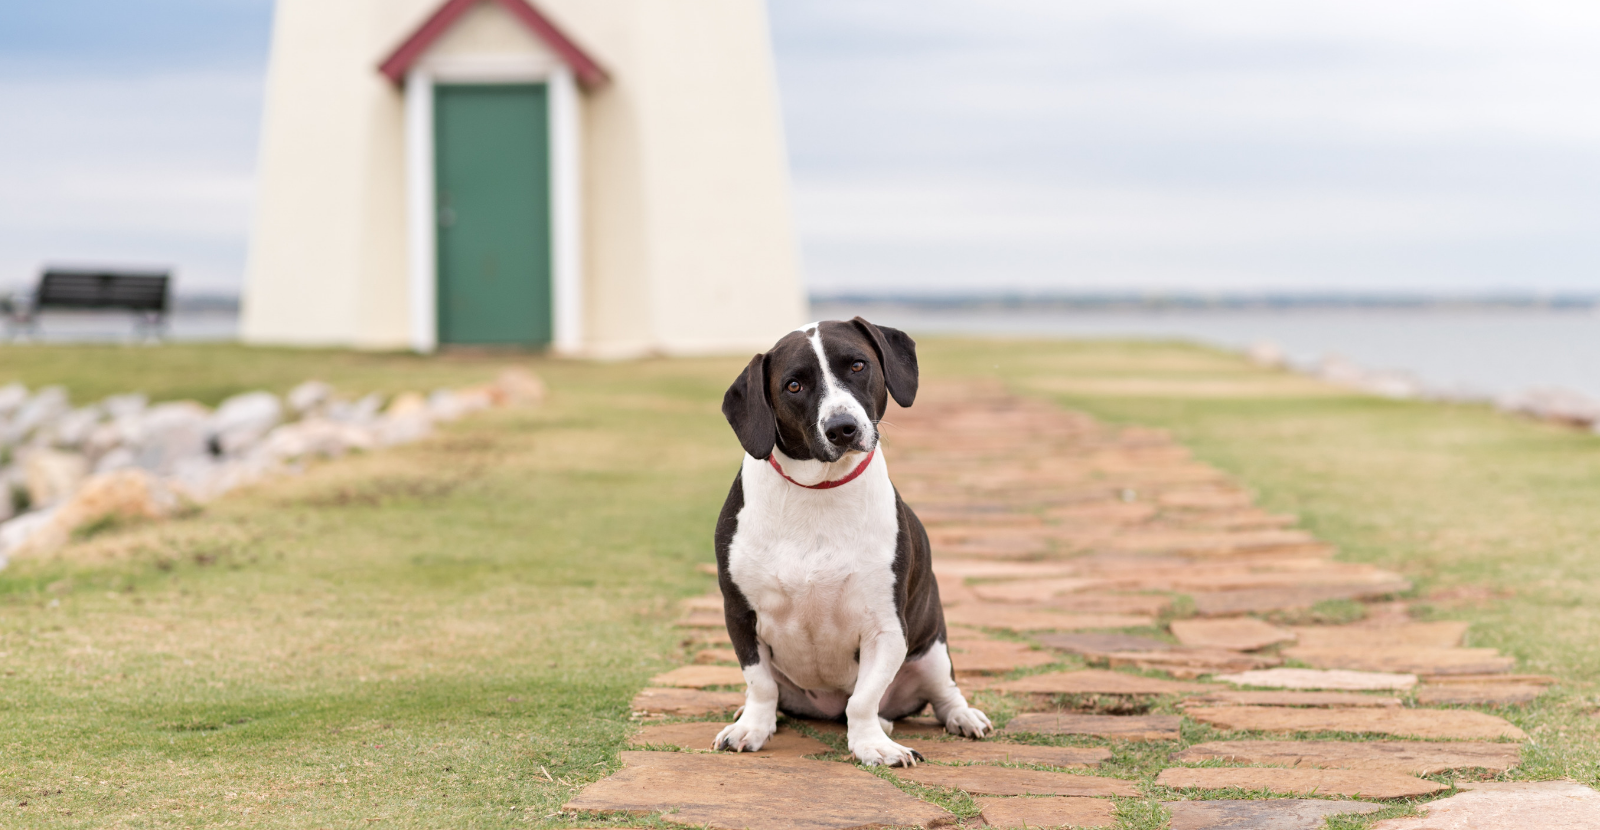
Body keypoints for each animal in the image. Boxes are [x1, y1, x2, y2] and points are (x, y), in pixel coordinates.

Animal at [713, 316, 985, 767]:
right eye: (793, 385)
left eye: (857, 365)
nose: (842, 428)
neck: (819, 491)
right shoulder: (740, 615)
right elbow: (761, 685)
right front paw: (751, 727)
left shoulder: (886, 627)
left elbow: (863, 699)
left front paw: (873, 744)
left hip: (932, 651)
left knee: (942, 693)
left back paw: (960, 716)